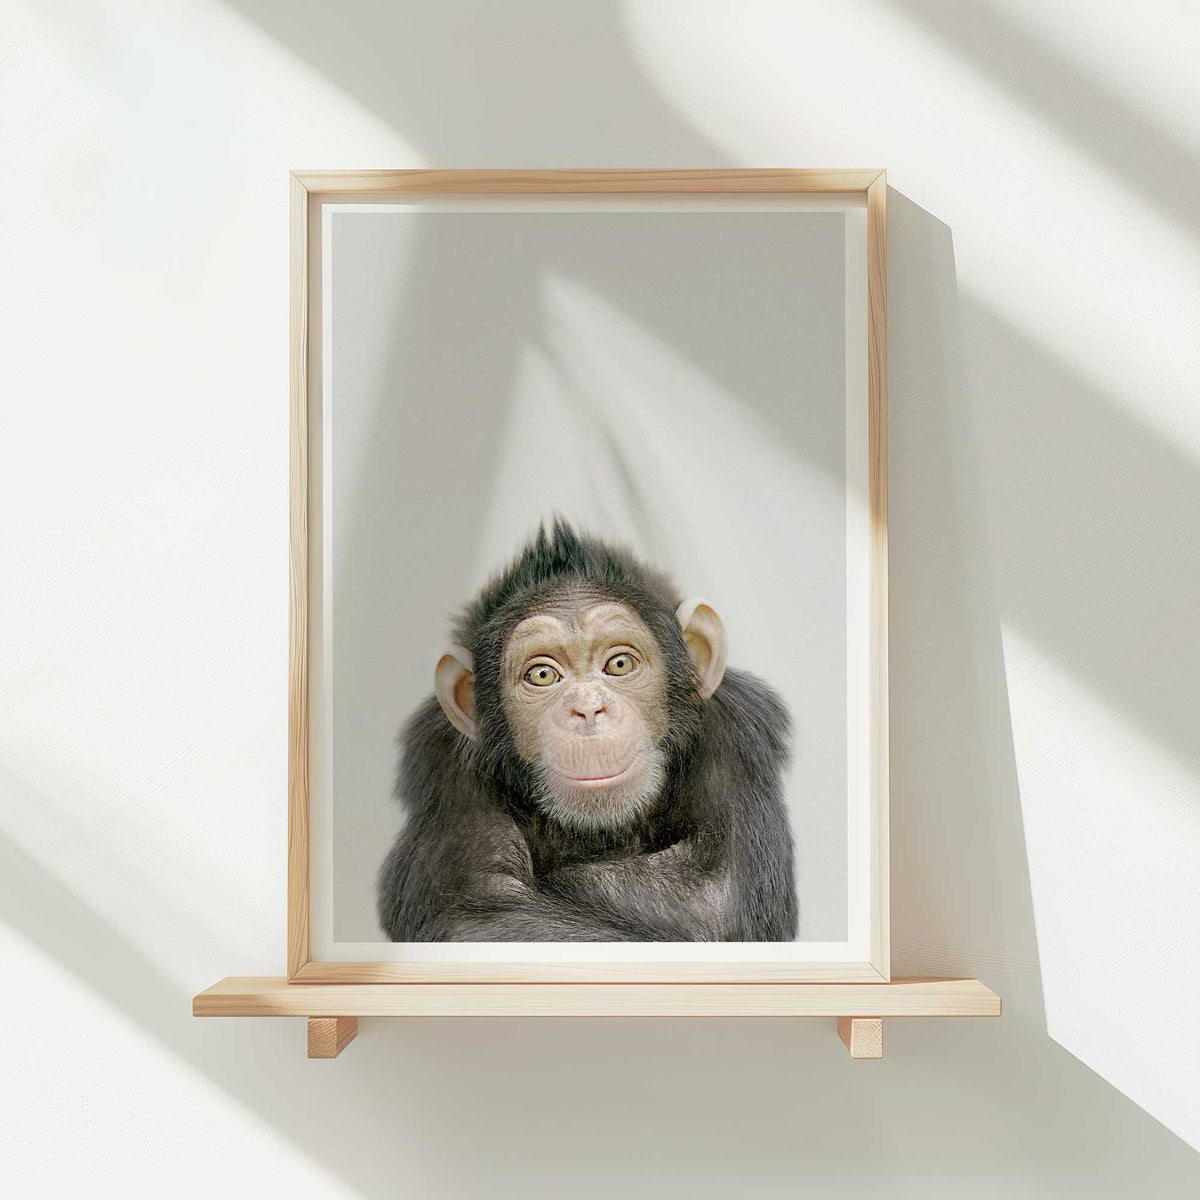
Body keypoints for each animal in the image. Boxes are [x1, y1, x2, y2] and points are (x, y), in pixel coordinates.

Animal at [377, 520, 797, 942]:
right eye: (542, 675)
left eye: (620, 664)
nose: (588, 707)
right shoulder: (445, 765)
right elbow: (478, 915)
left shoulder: (735, 734)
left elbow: (712, 895)